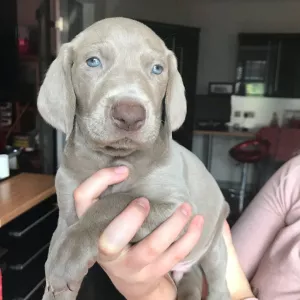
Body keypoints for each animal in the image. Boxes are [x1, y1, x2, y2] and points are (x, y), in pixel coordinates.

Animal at [37, 17, 230, 300]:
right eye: (92, 62)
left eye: (157, 69)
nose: (130, 115)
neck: (113, 158)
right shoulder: (67, 213)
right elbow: (59, 244)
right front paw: (58, 273)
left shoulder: (179, 208)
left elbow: (117, 202)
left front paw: (66, 260)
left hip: (214, 242)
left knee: (218, 281)